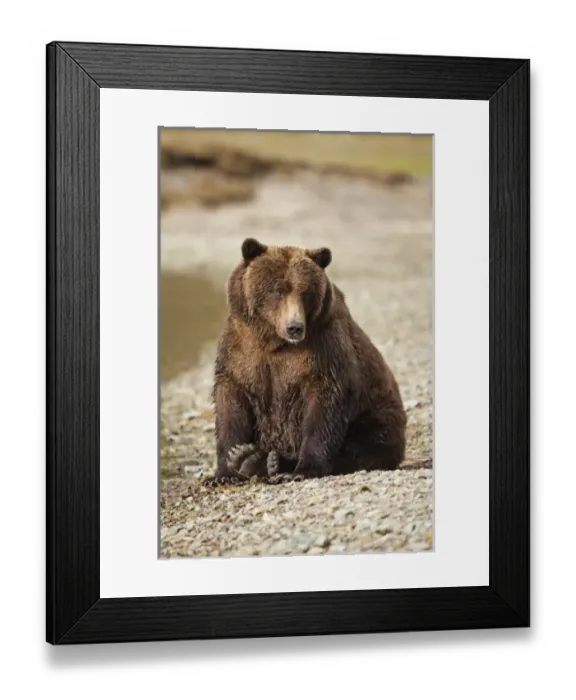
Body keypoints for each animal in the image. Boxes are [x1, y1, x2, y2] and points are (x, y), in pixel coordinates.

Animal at [203, 237, 407, 486]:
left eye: (305, 292)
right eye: (278, 290)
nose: (295, 327)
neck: (273, 341)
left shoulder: (323, 348)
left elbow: (324, 404)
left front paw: (303, 469)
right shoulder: (240, 350)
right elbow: (231, 403)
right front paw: (224, 471)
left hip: (378, 416)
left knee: (362, 446)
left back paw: (265, 462)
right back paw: (253, 459)